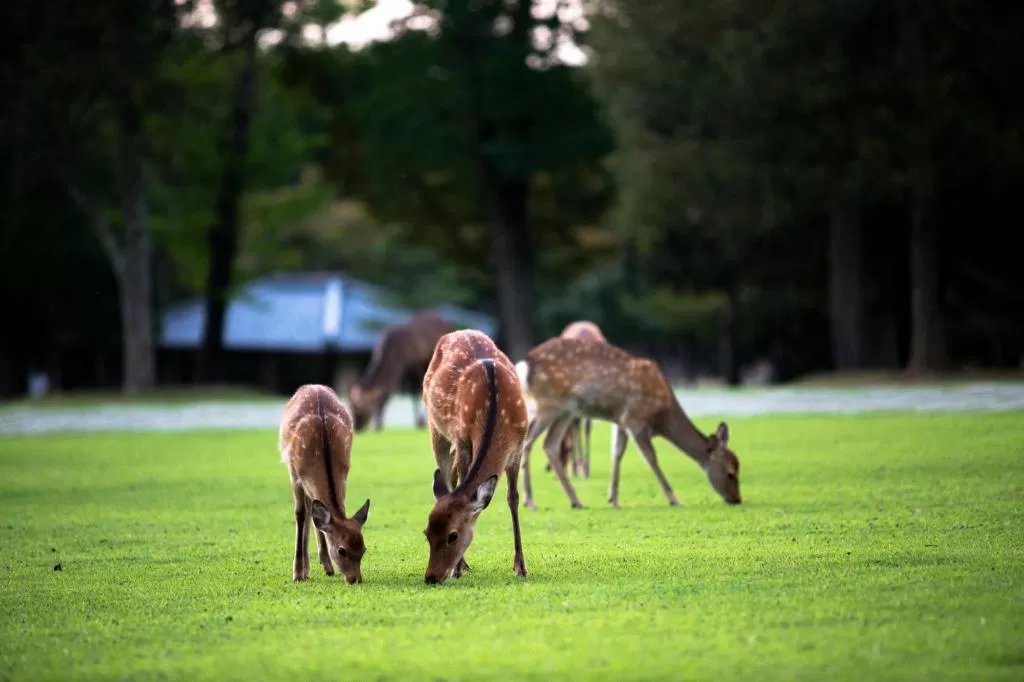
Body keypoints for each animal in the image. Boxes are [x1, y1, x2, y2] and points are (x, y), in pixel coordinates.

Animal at [280, 385, 372, 581]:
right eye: (341, 550)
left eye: (363, 549)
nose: (355, 579)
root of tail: (313, 385)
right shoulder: (294, 474)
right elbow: (300, 514)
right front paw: (297, 573)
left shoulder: (344, 473)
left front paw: (323, 566)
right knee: (308, 511)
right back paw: (305, 570)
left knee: (313, 511)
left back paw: (325, 567)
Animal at [419, 329, 528, 585]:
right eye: (426, 533)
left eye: (453, 535)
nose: (431, 577)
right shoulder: (463, 440)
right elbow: (460, 483)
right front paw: (458, 568)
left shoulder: (518, 448)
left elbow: (513, 498)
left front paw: (520, 567)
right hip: (435, 426)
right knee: (448, 476)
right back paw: (463, 565)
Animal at [516, 337, 741, 507]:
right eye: (730, 473)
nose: (737, 499)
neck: (662, 416)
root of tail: (525, 364)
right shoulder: (636, 419)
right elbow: (651, 458)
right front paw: (674, 499)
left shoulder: (621, 421)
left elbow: (617, 453)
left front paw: (613, 499)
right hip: (549, 404)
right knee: (529, 442)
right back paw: (531, 501)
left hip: (566, 411)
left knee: (549, 446)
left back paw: (576, 501)